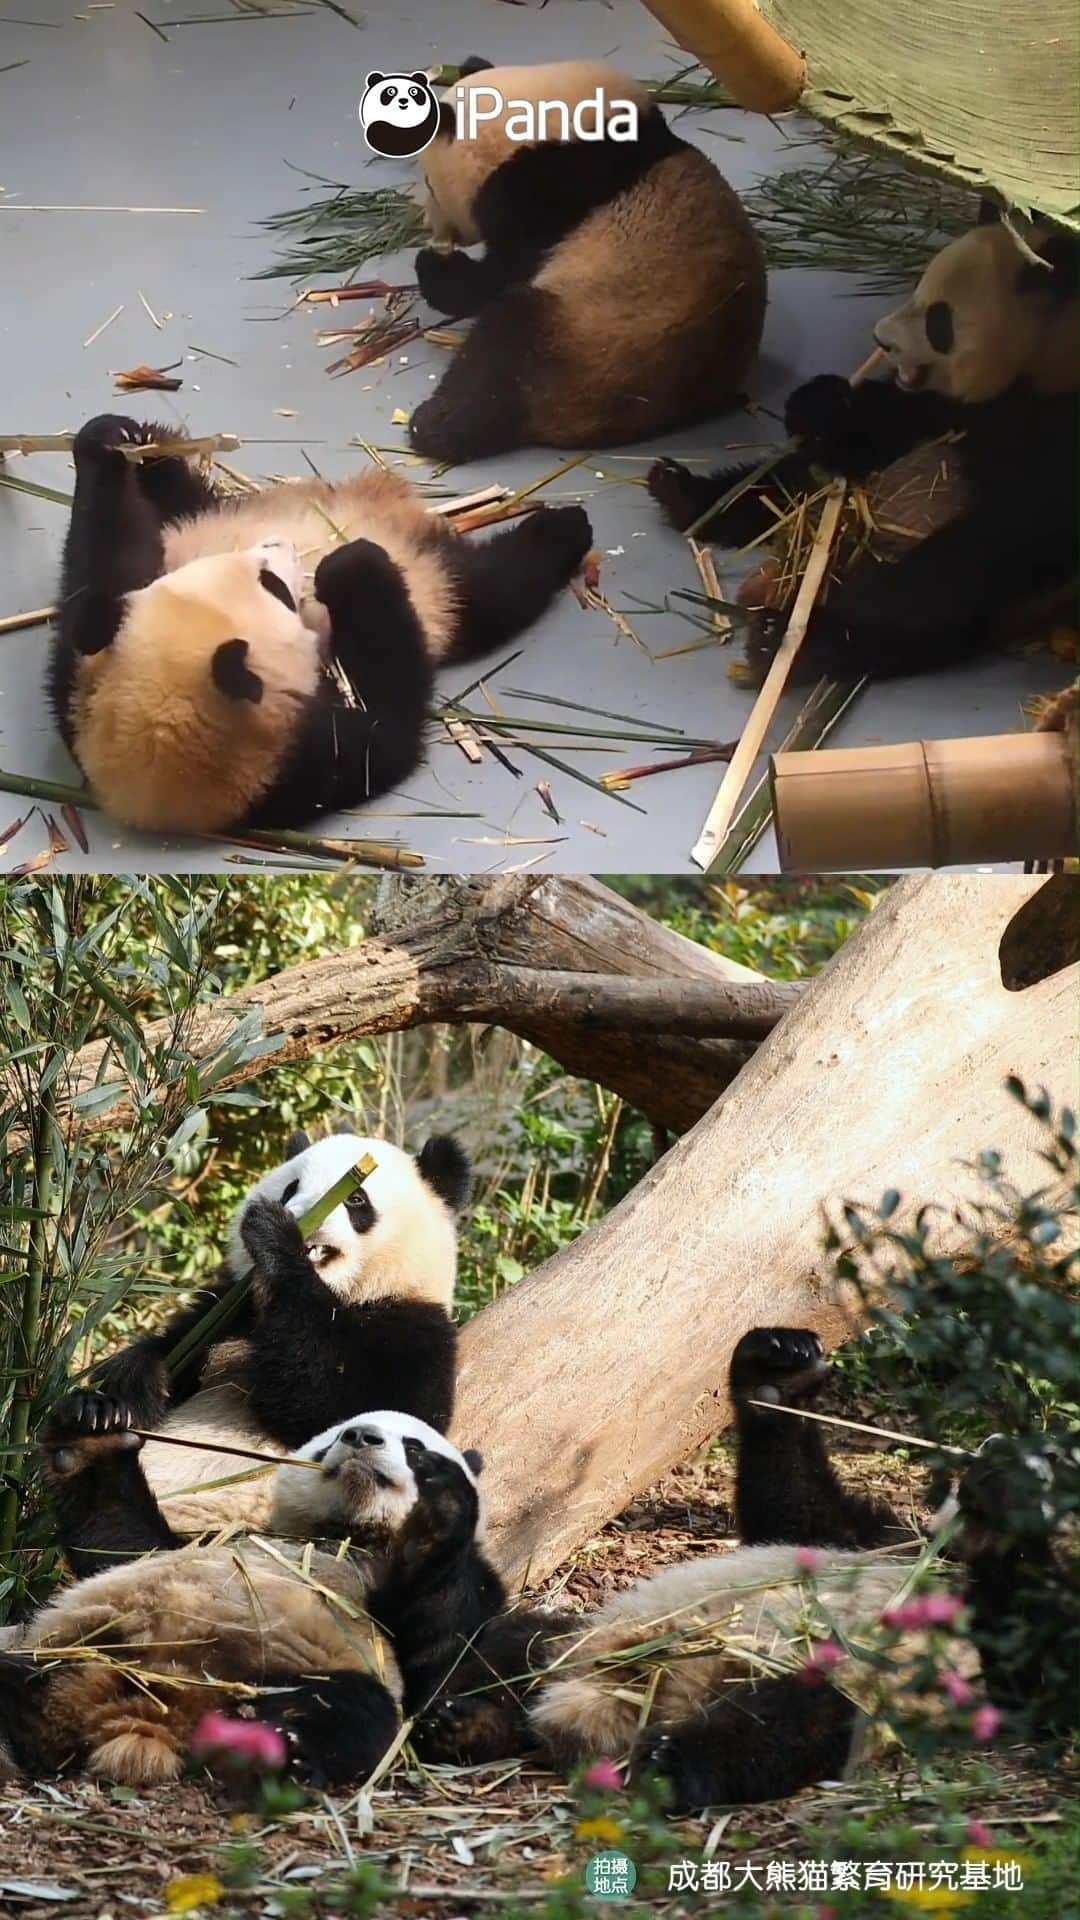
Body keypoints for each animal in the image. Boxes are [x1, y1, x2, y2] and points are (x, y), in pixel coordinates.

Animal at [0, 1405, 484, 1787]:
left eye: (414, 1447)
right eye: (330, 1442)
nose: (361, 1437)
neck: (348, 1534)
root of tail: (151, 1713)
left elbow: (440, 1649)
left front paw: (441, 1500)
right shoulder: (220, 1537)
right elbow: (121, 1541)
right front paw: (91, 1431)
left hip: (276, 1676)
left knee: (353, 1707)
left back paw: (286, 1754)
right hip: (78, 1653)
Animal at [47, 413, 593, 833]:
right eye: (274, 587)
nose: (280, 544)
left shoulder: (77, 678)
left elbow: (102, 572)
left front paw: (107, 443)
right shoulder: (309, 767)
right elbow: (392, 722)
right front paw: (351, 566)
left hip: (199, 516)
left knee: (184, 499)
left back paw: (154, 450)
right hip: (443, 586)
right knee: (496, 587)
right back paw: (562, 530)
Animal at [68, 1127, 472, 1548]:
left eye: (355, 1199)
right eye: (291, 1187)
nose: (298, 1215)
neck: (343, 1294)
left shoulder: (414, 1334)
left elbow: (350, 1408)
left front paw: (276, 1237)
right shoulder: (233, 1309)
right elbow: (176, 1348)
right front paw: (125, 1387)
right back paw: (90, 1415)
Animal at [407, 58, 766, 463]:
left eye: (430, 182)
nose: (431, 225)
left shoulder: (541, 195)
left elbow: (499, 276)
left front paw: (435, 269)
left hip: (587, 339)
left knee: (501, 353)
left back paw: (434, 425)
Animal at [648, 209, 1078, 684]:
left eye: (939, 321)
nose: (882, 339)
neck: (1049, 357)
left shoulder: (1058, 436)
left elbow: (994, 542)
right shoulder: (939, 407)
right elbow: (872, 427)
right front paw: (818, 404)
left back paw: (792, 640)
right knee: (790, 485)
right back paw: (688, 495)